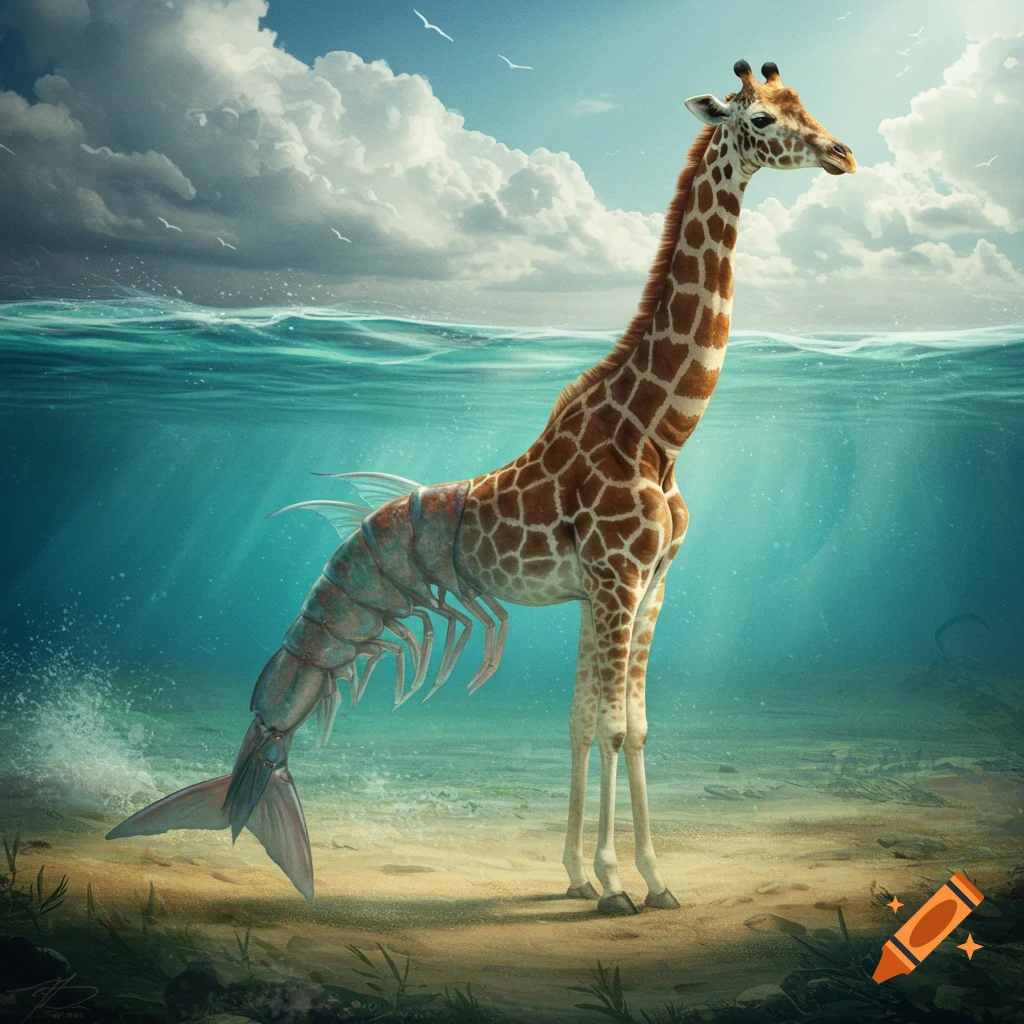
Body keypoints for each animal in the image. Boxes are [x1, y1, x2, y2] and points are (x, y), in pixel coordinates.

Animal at [454, 60, 856, 915]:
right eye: (761, 120)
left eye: (803, 103)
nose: (843, 154)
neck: (658, 434)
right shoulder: (618, 576)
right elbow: (607, 724)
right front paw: (611, 882)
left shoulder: (649, 582)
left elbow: (619, 725)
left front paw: (639, 877)